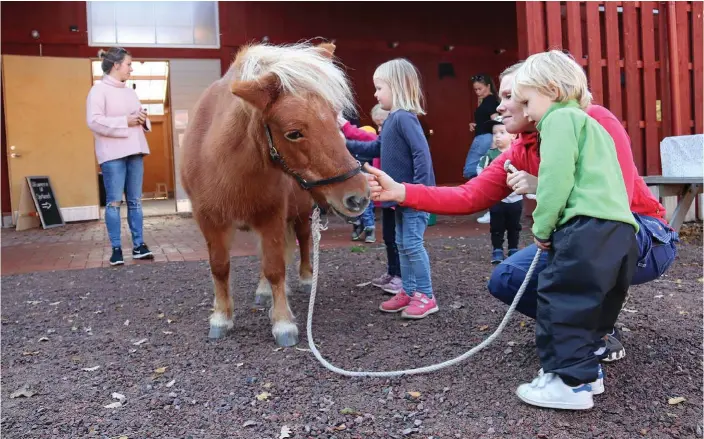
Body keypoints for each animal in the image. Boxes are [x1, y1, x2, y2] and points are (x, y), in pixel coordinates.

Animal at [180, 43, 368, 348]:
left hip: (302, 213)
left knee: (303, 240)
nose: (358, 197)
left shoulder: (272, 218)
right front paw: (221, 318)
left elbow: (275, 267)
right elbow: (220, 267)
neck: (224, 164)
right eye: (294, 133)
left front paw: (283, 323)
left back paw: (305, 279)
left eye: (335, 120)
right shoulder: (209, 220)